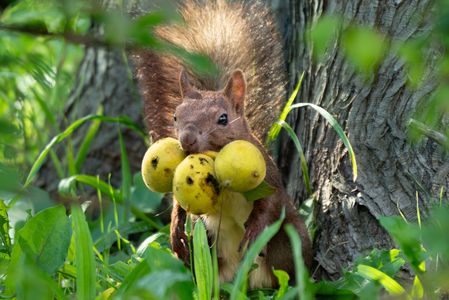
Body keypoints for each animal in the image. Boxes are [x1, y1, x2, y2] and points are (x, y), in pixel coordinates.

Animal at [131, 0, 310, 288]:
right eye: (175, 116)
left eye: (223, 119)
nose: (187, 139)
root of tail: (245, 280)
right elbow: (179, 205)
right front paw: (174, 230)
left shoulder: (269, 176)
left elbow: (270, 202)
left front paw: (253, 230)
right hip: (206, 244)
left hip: (288, 241)